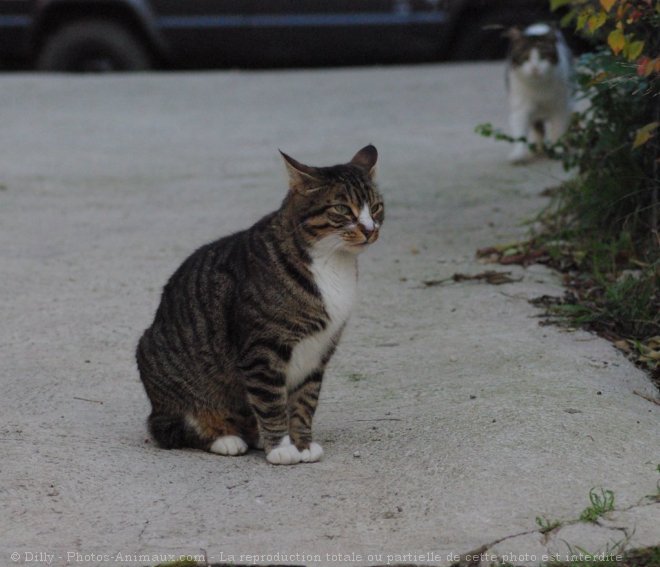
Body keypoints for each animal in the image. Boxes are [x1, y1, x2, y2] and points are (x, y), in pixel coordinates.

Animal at [137, 145, 384, 466]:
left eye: (376, 207)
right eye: (342, 209)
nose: (370, 229)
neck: (332, 263)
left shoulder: (320, 350)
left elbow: (305, 402)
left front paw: (302, 444)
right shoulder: (263, 350)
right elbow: (271, 403)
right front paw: (280, 448)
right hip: (165, 373)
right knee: (172, 428)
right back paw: (226, 438)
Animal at [506, 22, 572, 164]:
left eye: (543, 56)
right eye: (525, 58)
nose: (535, 68)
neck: (539, 89)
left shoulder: (560, 107)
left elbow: (558, 128)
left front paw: (558, 149)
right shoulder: (520, 106)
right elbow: (520, 130)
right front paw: (518, 154)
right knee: (538, 128)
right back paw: (537, 148)